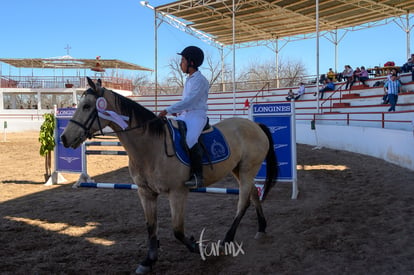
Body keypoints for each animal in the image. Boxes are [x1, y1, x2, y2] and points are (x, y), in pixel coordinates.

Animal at [59, 77, 276, 274]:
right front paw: (148, 261)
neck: (151, 147)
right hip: (239, 170)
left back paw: (226, 241)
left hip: (247, 170)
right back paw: (261, 228)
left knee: (243, 202)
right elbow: (151, 226)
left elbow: (177, 230)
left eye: (87, 106)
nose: (64, 138)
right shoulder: (145, 193)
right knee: (254, 195)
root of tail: (255, 126)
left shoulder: (177, 192)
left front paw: (198, 246)